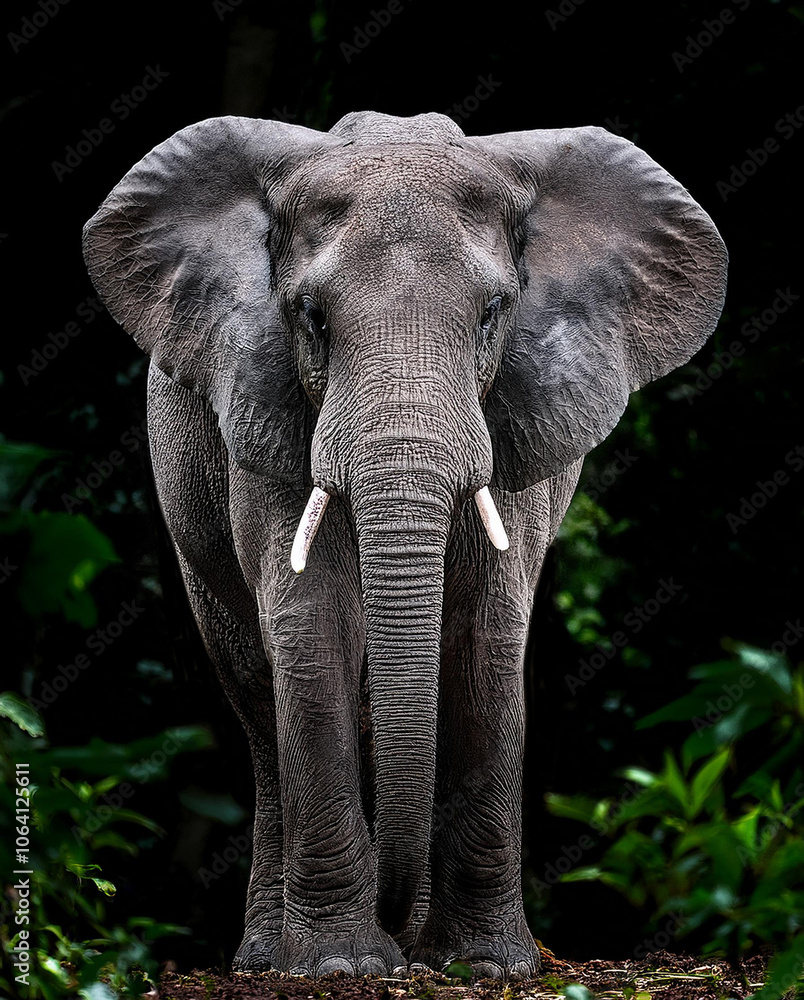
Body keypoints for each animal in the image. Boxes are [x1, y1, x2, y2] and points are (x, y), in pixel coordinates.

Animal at [83, 110, 727, 979]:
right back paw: (278, 957)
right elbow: (313, 629)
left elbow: (485, 637)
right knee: (257, 699)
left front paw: (487, 967)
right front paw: (340, 968)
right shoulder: (266, 408)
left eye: (492, 314)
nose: (389, 920)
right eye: (312, 317)